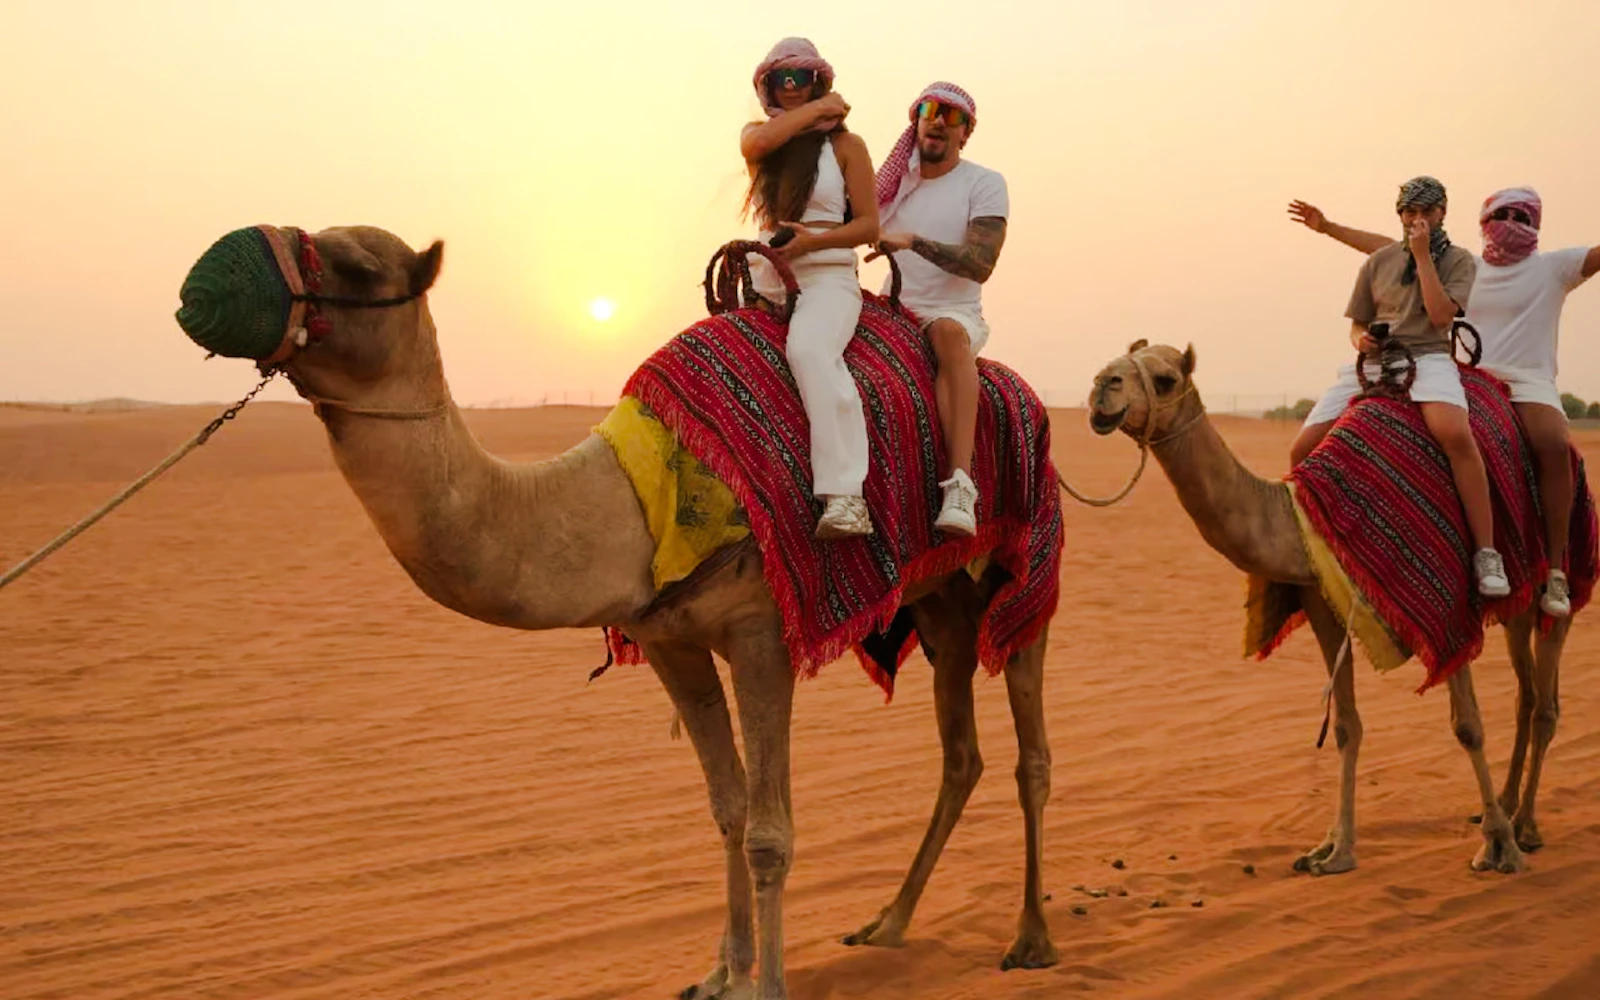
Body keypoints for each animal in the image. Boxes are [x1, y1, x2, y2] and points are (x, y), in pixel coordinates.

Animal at [177, 225, 1058, 1000]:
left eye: (358, 268)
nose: (201, 287)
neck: (628, 506)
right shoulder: (670, 638)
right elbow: (728, 806)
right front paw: (722, 974)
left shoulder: (762, 634)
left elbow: (770, 831)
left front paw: (767, 985)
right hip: (939, 601)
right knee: (962, 752)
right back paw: (889, 922)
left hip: (1022, 567)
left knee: (1030, 753)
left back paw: (1029, 938)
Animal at [1086, 341, 1575, 877]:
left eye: (1165, 378)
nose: (1102, 387)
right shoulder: (1323, 601)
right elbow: (1345, 725)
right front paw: (1334, 849)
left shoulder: (1448, 610)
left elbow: (1467, 726)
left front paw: (1499, 846)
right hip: (1515, 611)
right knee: (1527, 696)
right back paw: (1507, 806)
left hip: (1553, 585)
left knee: (1546, 701)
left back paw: (1524, 826)